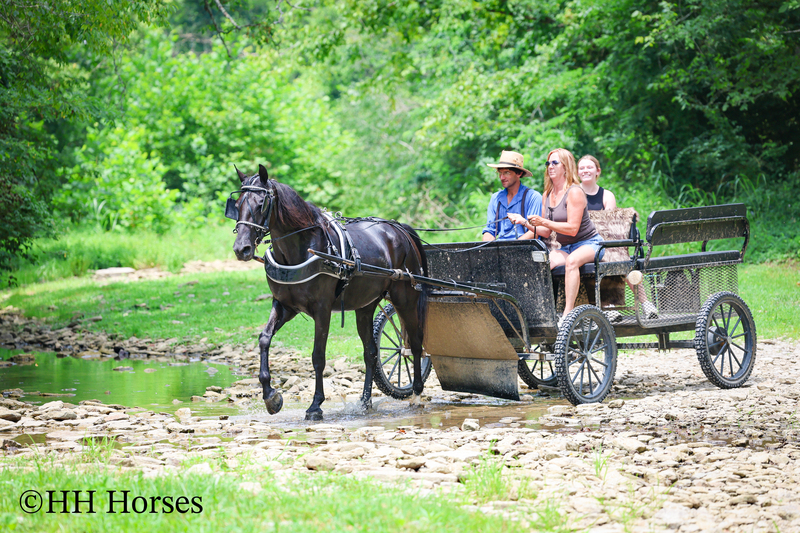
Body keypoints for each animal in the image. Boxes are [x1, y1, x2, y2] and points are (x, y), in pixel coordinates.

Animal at [230, 165, 429, 421]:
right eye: (237, 204)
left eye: (262, 203)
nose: (241, 248)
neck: (302, 248)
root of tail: (399, 228)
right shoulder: (284, 306)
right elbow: (264, 339)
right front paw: (270, 396)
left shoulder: (322, 310)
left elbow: (318, 356)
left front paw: (316, 405)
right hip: (365, 306)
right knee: (371, 352)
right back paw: (365, 402)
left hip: (405, 299)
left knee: (414, 343)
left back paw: (417, 393)